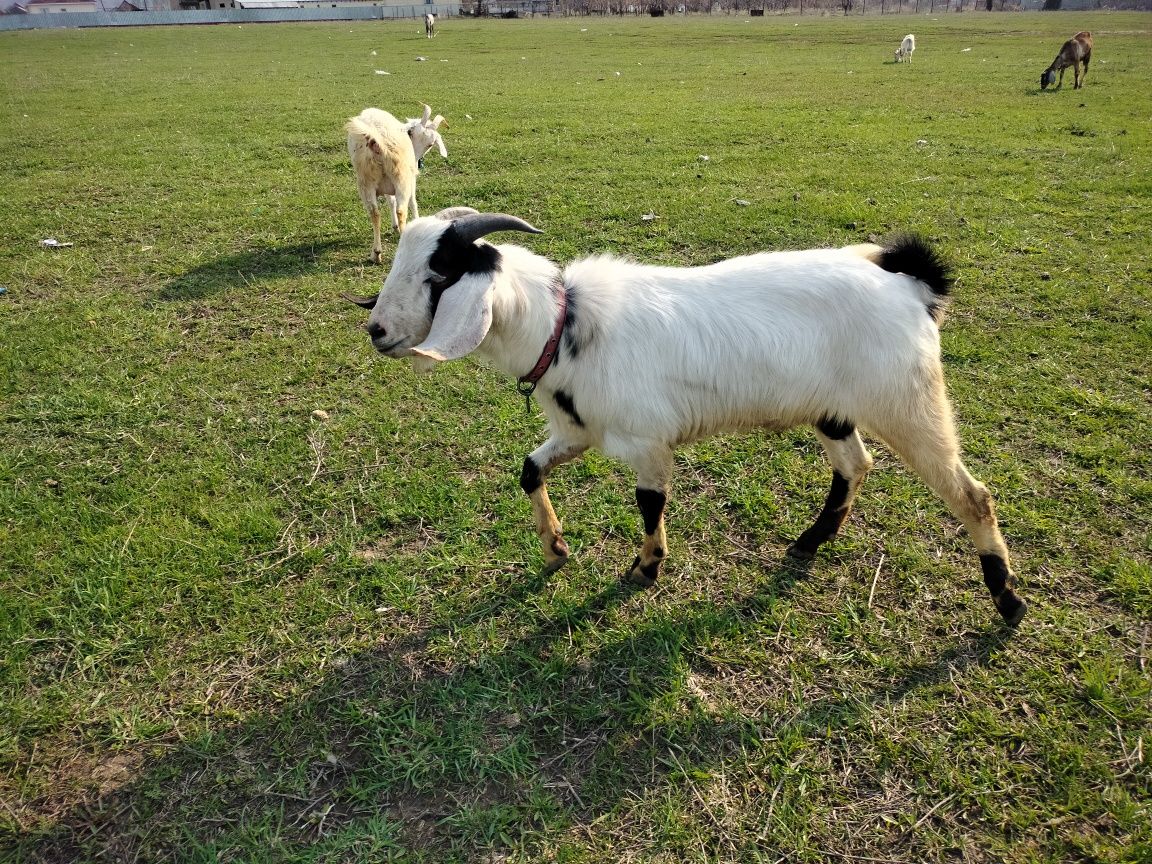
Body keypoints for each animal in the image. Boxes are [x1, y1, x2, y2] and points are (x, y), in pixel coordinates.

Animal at [343, 104, 446, 262]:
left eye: (430, 144)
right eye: (411, 132)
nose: (416, 161)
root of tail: (378, 140)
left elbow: (391, 202)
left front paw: (394, 226)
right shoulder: (411, 180)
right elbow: (413, 202)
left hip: (366, 182)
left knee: (375, 213)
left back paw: (376, 253)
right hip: (402, 178)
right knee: (401, 210)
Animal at [345, 209, 1032, 631]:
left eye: (439, 272)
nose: (375, 331)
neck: (562, 325)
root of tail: (911, 284)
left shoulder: (648, 442)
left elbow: (650, 504)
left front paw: (646, 568)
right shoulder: (579, 432)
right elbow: (528, 470)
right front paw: (556, 547)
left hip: (909, 402)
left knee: (973, 496)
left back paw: (1009, 601)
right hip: (834, 408)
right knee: (856, 464)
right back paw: (811, 540)